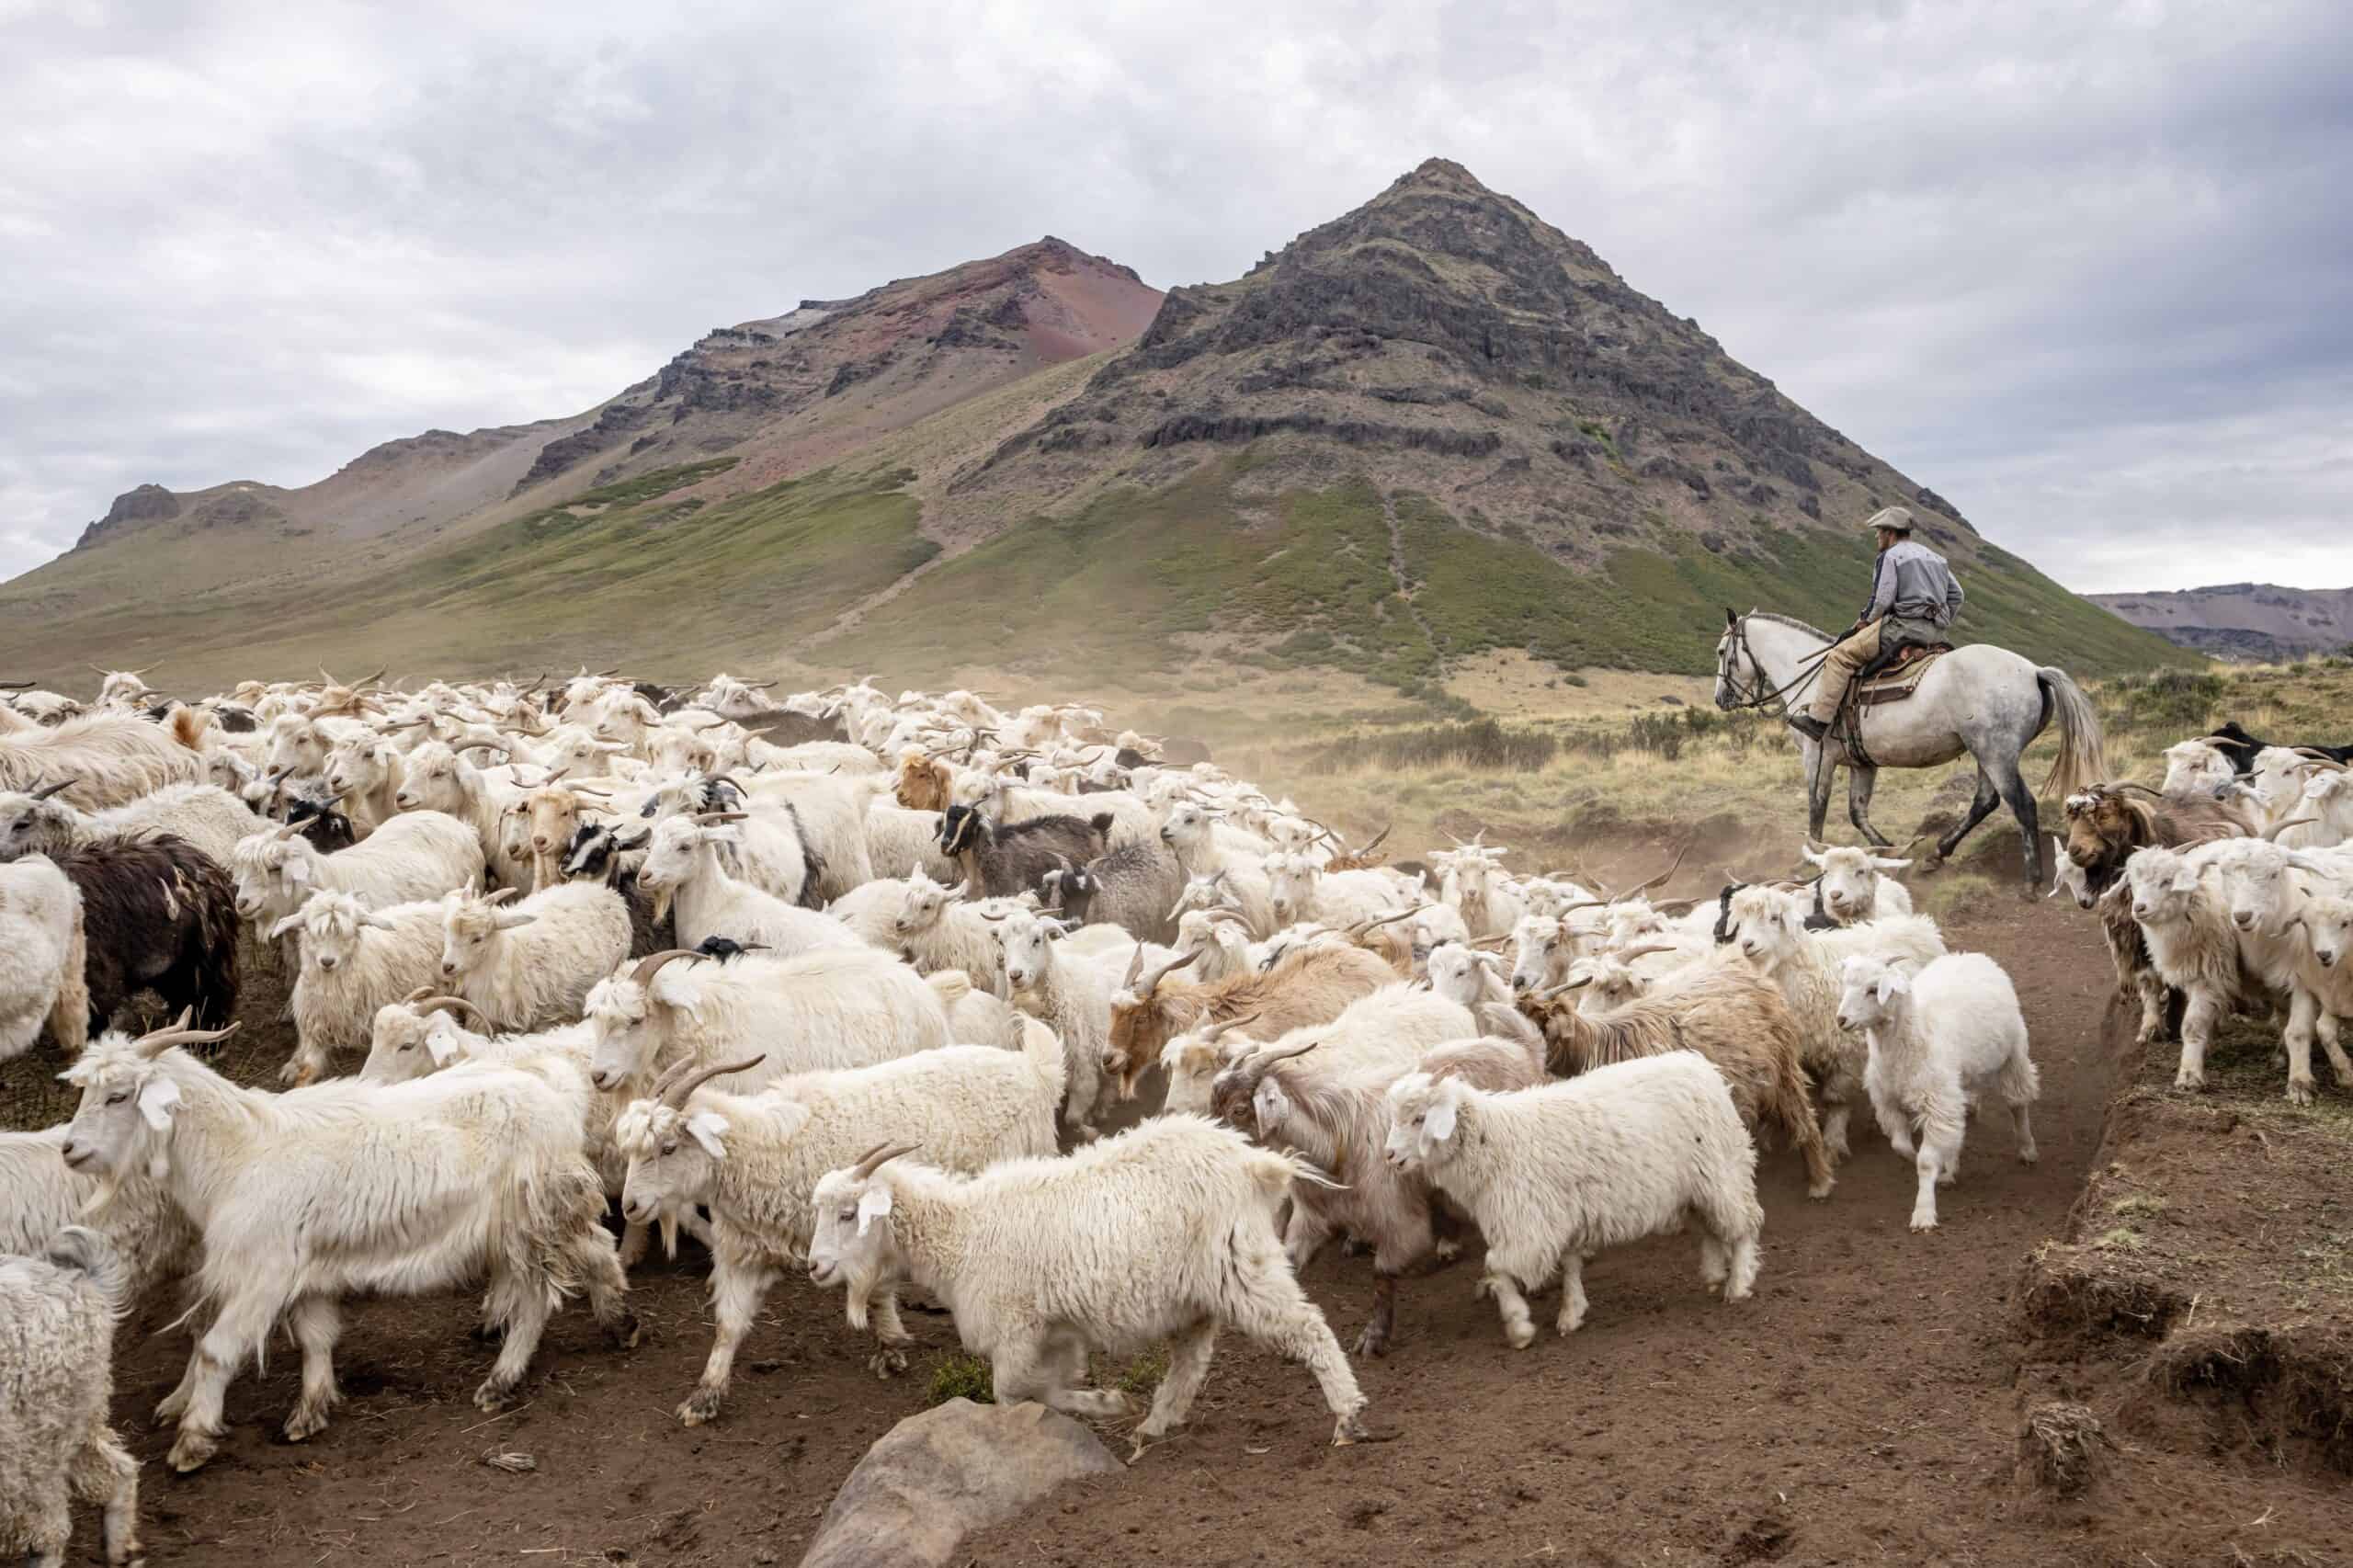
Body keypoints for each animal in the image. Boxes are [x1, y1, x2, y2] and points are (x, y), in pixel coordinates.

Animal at [1712, 602, 2118, 885]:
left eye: (1720, 652)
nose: (1720, 699)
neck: (1810, 681)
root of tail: (2033, 671)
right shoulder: (1863, 764)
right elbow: (1858, 814)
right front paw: (1892, 854)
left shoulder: (1817, 756)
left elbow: (1816, 812)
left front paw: (1808, 861)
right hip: (1986, 754)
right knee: (1984, 802)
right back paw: (1936, 855)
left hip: (1996, 754)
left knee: (2022, 805)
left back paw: (2031, 880)